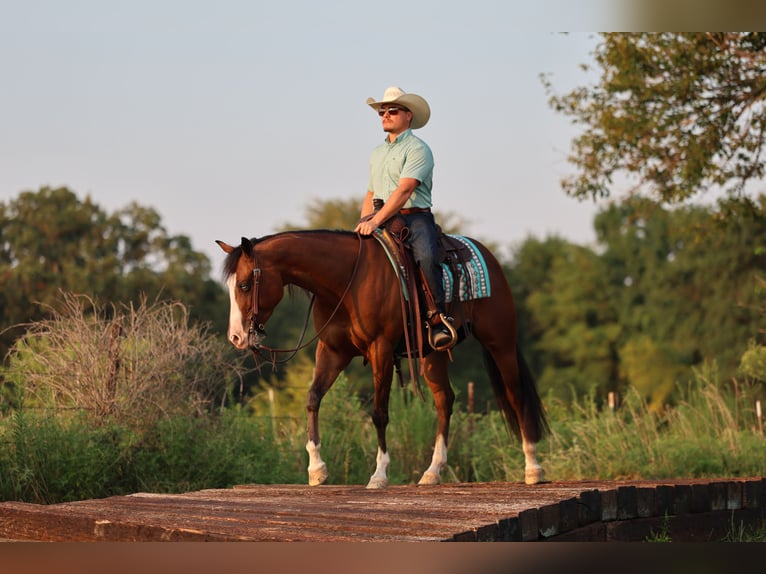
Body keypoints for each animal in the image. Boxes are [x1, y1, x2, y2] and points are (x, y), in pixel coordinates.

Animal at [217, 230, 547, 489]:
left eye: (245, 285)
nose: (236, 337)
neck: (345, 281)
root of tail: (486, 253)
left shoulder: (381, 349)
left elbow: (379, 413)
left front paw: (379, 475)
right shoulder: (332, 351)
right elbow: (312, 399)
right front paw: (316, 470)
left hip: (500, 342)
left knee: (517, 396)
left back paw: (533, 468)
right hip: (433, 355)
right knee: (445, 400)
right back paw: (432, 472)